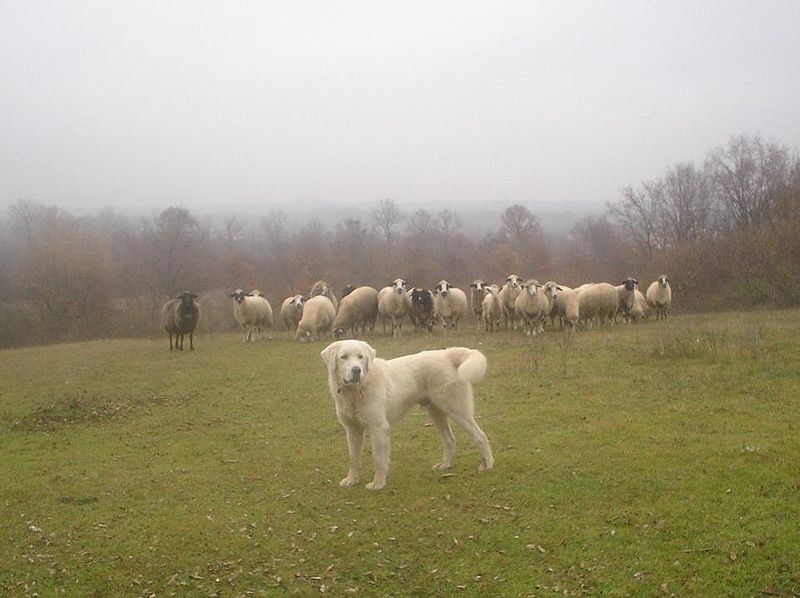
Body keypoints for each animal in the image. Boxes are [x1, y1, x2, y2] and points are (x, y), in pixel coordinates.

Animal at [320, 342, 494, 492]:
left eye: (361, 357)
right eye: (343, 357)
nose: (356, 370)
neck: (355, 390)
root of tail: (447, 353)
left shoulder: (378, 428)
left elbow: (379, 459)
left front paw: (378, 483)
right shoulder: (352, 430)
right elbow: (354, 459)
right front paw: (351, 480)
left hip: (457, 410)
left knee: (481, 436)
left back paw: (488, 464)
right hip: (437, 412)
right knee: (450, 440)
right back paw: (445, 465)